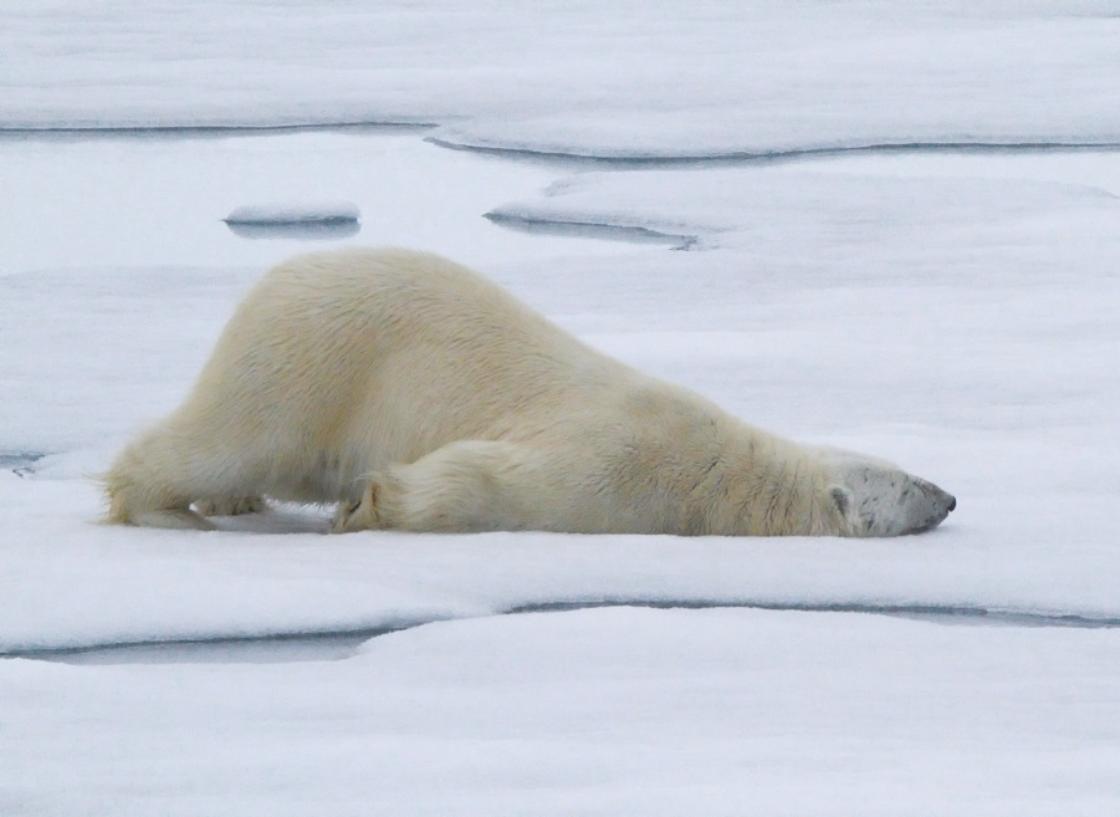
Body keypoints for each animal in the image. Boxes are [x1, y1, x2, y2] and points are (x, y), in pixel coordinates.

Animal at [105, 244, 958, 535]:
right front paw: (373, 504)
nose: (950, 495)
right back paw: (167, 507)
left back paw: (234, 502)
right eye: (903, 482)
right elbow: (484, 477)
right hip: (312, 360)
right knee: (230, 438)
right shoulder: (619, 464)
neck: (726, 478)